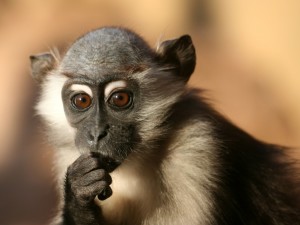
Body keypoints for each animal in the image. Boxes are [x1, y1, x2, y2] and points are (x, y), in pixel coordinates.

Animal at [29, 27, 300, 224]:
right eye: (82, 100)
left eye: (119, 98)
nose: (97, 133)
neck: (136, 163)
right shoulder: (71, 157)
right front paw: (80, 192)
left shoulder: (197, 150)